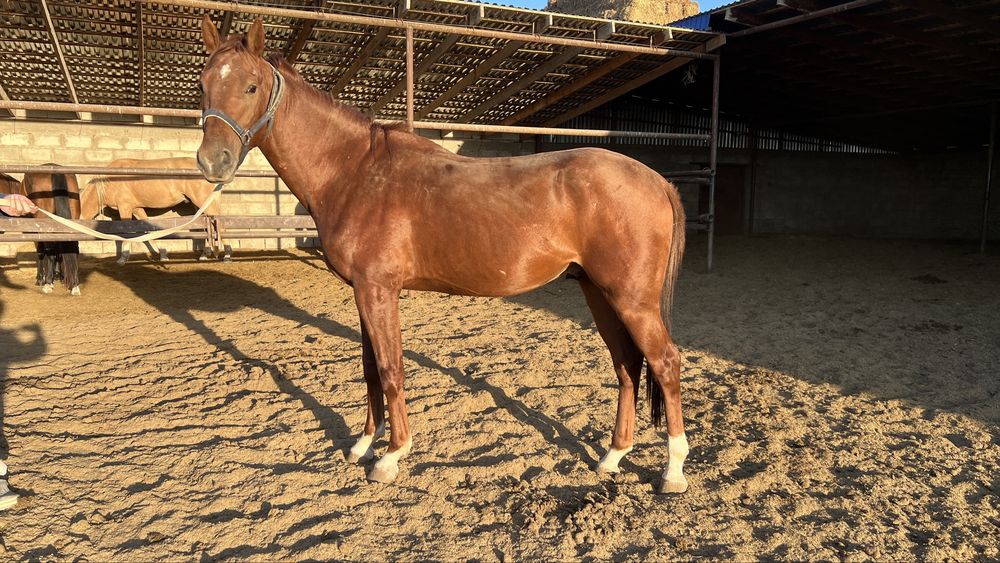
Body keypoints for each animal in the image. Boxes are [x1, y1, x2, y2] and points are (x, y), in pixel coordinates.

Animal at [22, 166, 81, 295]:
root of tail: (55, 171)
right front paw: (59, 275)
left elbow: (41, 251)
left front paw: (40, 279)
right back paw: (74, 284)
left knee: (50, 250)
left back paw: (48, 283)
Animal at [82, 157, 224, 263]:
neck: (109, 181)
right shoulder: (136, 209)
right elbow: (149, 230)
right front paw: (163, 255)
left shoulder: (125, 208)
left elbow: (126, 232)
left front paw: (123, 258)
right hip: (199, 205)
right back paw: (204, 255)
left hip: (204, 202)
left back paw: (224, 253)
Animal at [197, 17, 689, 493]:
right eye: (203, 84)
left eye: (251, 87)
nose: (212, 162)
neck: (354, 171)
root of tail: (656, 180)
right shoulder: (364, 291)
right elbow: (370, 369)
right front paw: (363, 444)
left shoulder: (379, 290)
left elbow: (391, 368)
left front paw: (390, 456)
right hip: (598, 292)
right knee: (627, 365)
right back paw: (612, 456)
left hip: (630, 299)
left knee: (664, 362)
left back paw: (673, 471)